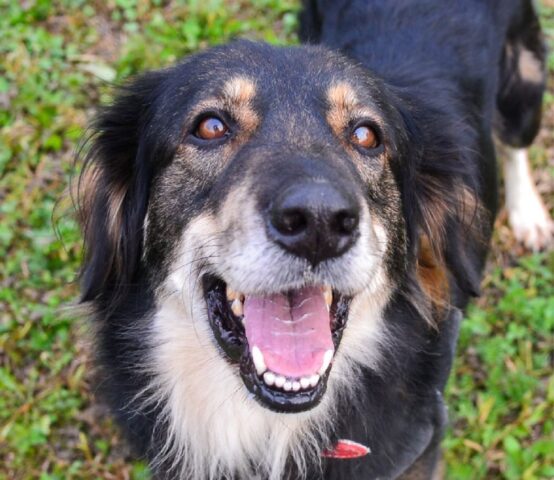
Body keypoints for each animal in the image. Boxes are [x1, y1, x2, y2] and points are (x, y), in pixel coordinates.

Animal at [76, 0, 548, 480]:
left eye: (366, 135)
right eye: (210, 127)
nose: (320, 222)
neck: (268, 425)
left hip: (524, 84)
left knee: (515, 146)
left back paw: (528, 213)